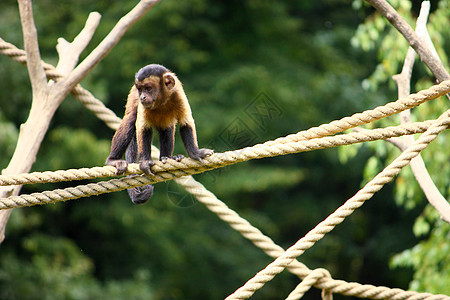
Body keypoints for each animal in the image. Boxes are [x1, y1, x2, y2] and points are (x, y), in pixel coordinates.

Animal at [108, 63, 215, 204]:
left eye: (148, 88)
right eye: (140, 89)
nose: (142, 97)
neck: (161, 100)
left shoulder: (178, 94)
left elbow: (185, 122)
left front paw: (195, 153)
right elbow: (142, 127)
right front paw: (145, 162)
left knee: (167, 128)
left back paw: (166, 158)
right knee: (131, 119)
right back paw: (113, 160)